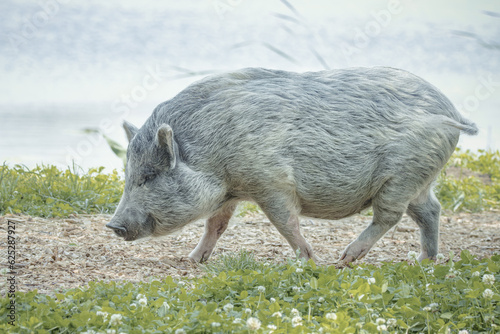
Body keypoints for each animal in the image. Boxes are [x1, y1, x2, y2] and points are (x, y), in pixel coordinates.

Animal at [107, 66, 478, 264]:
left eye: (149, 175)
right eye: (128, 174)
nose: (113, 225)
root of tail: (452, 112)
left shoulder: (270, 181)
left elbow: (285, 222)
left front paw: (309, 259)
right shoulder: (232, 191)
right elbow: (216, 225)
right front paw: (193, 260)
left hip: (402, 176)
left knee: (390, 216)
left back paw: (344, 260)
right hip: (420, 180)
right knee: (430, 210)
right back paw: (424, 261)